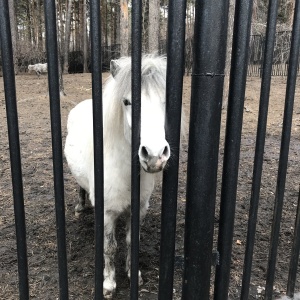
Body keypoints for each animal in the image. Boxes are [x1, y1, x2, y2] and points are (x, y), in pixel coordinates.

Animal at [65, 55, 173, 298]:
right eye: (127, 102)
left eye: (165, 102)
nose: (154, 155)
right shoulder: (107, 213)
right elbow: (110, 247)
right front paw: (108, 284)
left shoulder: (139, 209)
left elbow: (133, 241)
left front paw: (135, 275)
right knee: (80, 187)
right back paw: (80, 206)